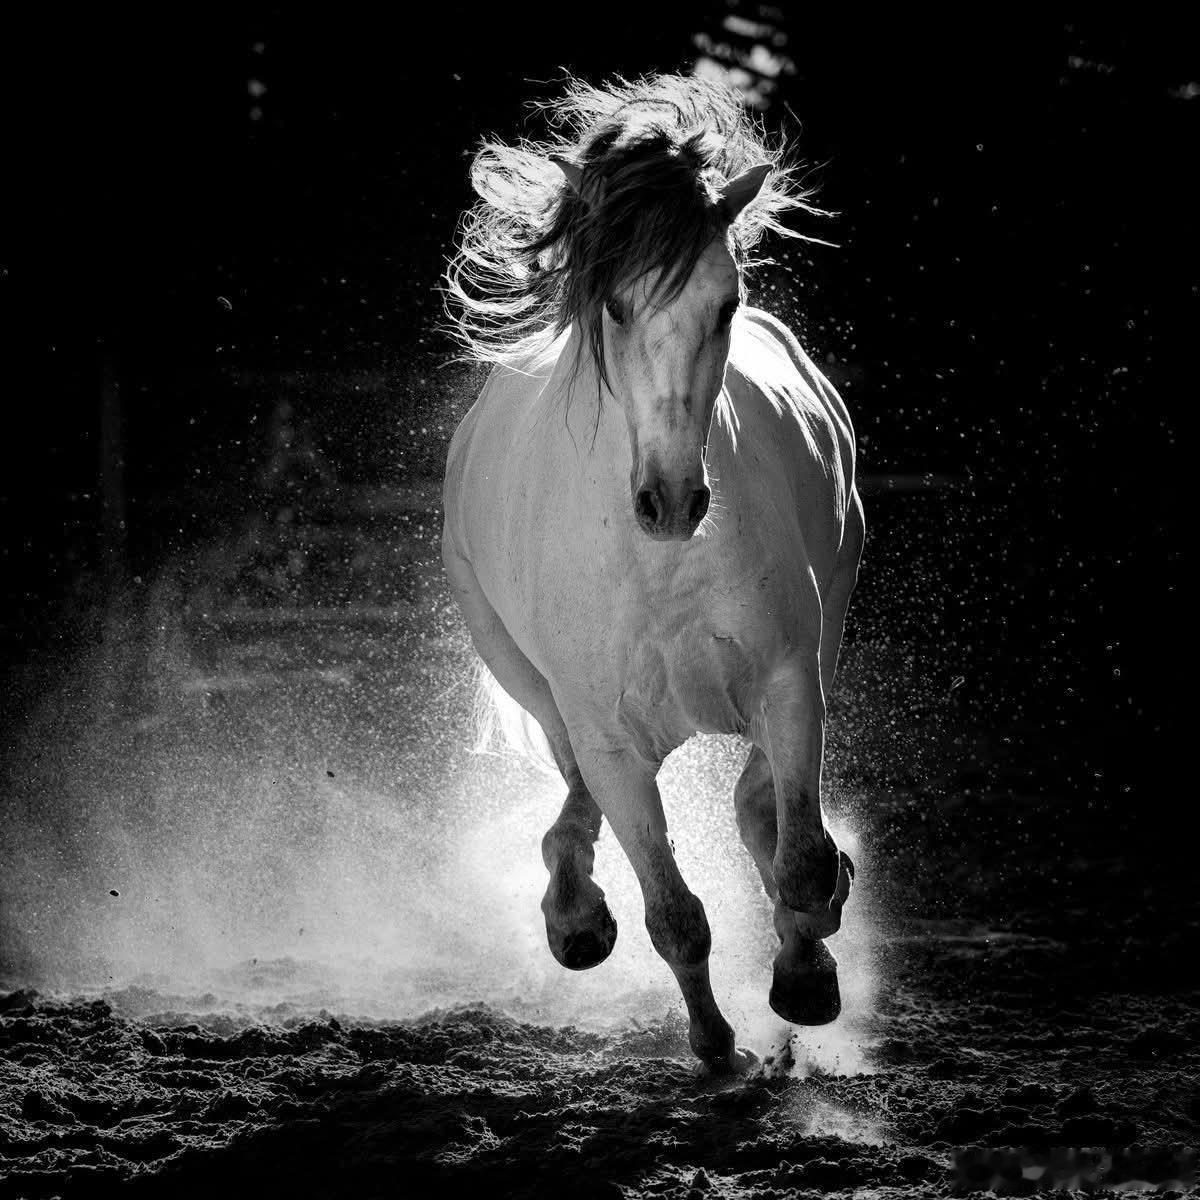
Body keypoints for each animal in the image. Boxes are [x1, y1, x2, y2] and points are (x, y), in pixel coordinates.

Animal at [441, 74, 864, 1071]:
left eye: (726, 302)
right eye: (617, 307)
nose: (671, 500)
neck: (658, 567)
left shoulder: (789, 681)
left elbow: (792, 855)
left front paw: (805, 978)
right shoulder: (609, 741)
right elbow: (673, 914)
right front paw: (717, 1050)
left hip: (825, 628)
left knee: (760, 812)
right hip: (532, 682)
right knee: (576, 800)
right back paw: (575, 920)